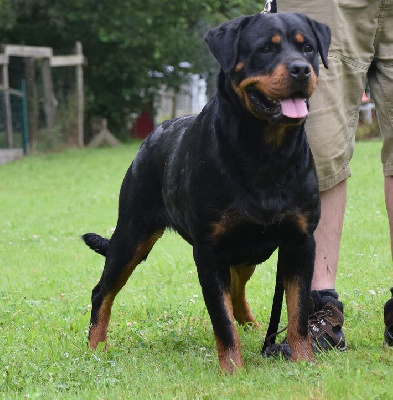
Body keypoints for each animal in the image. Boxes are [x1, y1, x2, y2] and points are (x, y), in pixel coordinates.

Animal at [82, 13, 330, 376]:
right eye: (265, 49)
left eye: (308, 47)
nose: (301, 69)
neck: (265, 150)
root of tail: (152, 135)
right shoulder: (209, 251)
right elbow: (221, 320)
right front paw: (232, 370)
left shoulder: (300, 241)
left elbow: (298, 310)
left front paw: (304, 363)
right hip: (131, 235)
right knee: (102, 291)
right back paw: (96, 347)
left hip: (246, 249)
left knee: (238, 288)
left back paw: (253, 325)